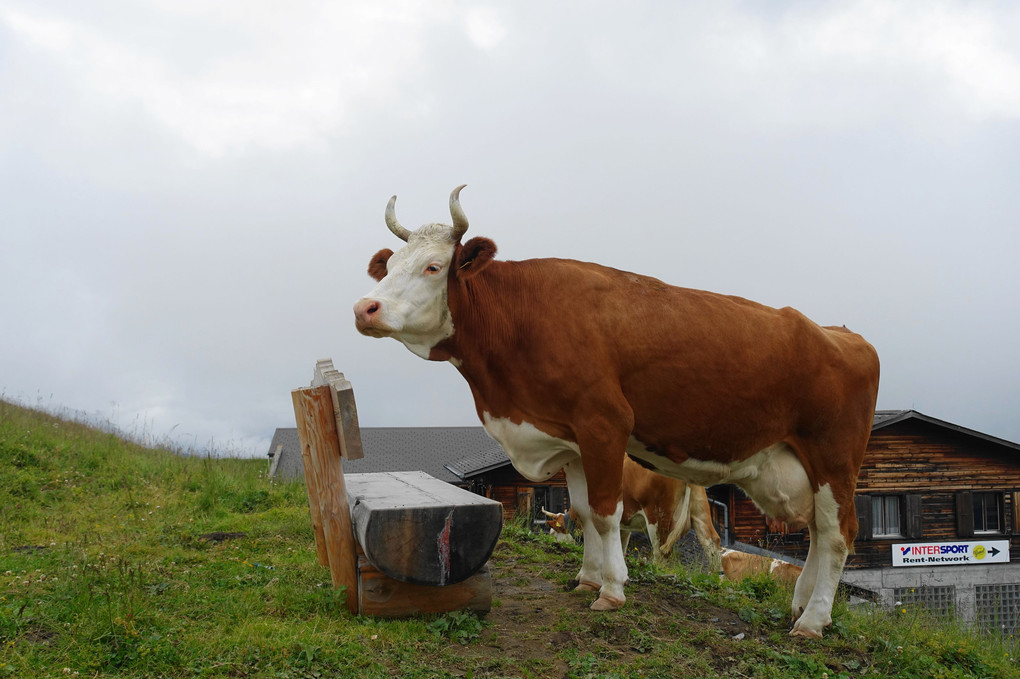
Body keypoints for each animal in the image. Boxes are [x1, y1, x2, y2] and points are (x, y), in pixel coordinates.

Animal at [354, 185, 881, 636]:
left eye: (433, 267)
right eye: (389, 266)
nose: (365, 308)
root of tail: (840, 333)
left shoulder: (604, 425)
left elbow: (607, 514)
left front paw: (610, 591)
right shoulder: (567, 438)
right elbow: (584, 511)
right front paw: (586, 578)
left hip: (835, 460)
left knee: (839, 535)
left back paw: (812, 621)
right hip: (805, 465)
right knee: (817, 532)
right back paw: (801, 605)